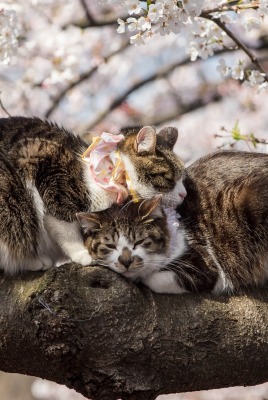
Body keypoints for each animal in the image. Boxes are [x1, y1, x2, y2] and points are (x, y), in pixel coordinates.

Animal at [0, 115, 186, 272]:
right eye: (169, 177)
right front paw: (84, 253)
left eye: (183, 177)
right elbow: (64, 226)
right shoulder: (39, 158)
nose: (183, 194)